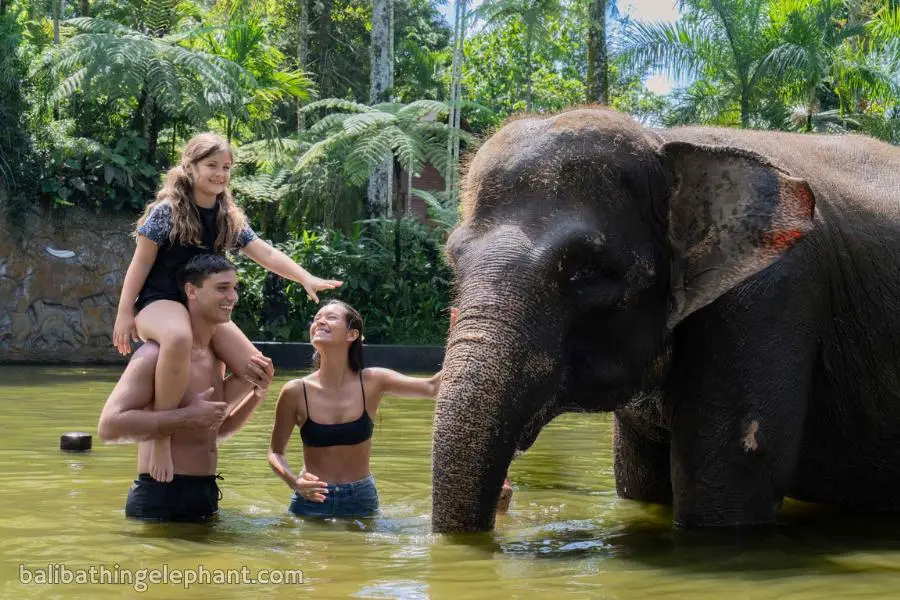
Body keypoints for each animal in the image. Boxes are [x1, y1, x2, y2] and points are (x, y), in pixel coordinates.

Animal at [431, 107, 900, 533]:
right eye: (453, 259)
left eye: (589, 270)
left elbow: (735, 480)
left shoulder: (768, 300)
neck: (663, 142)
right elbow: (640, 484)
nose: (505, 499)